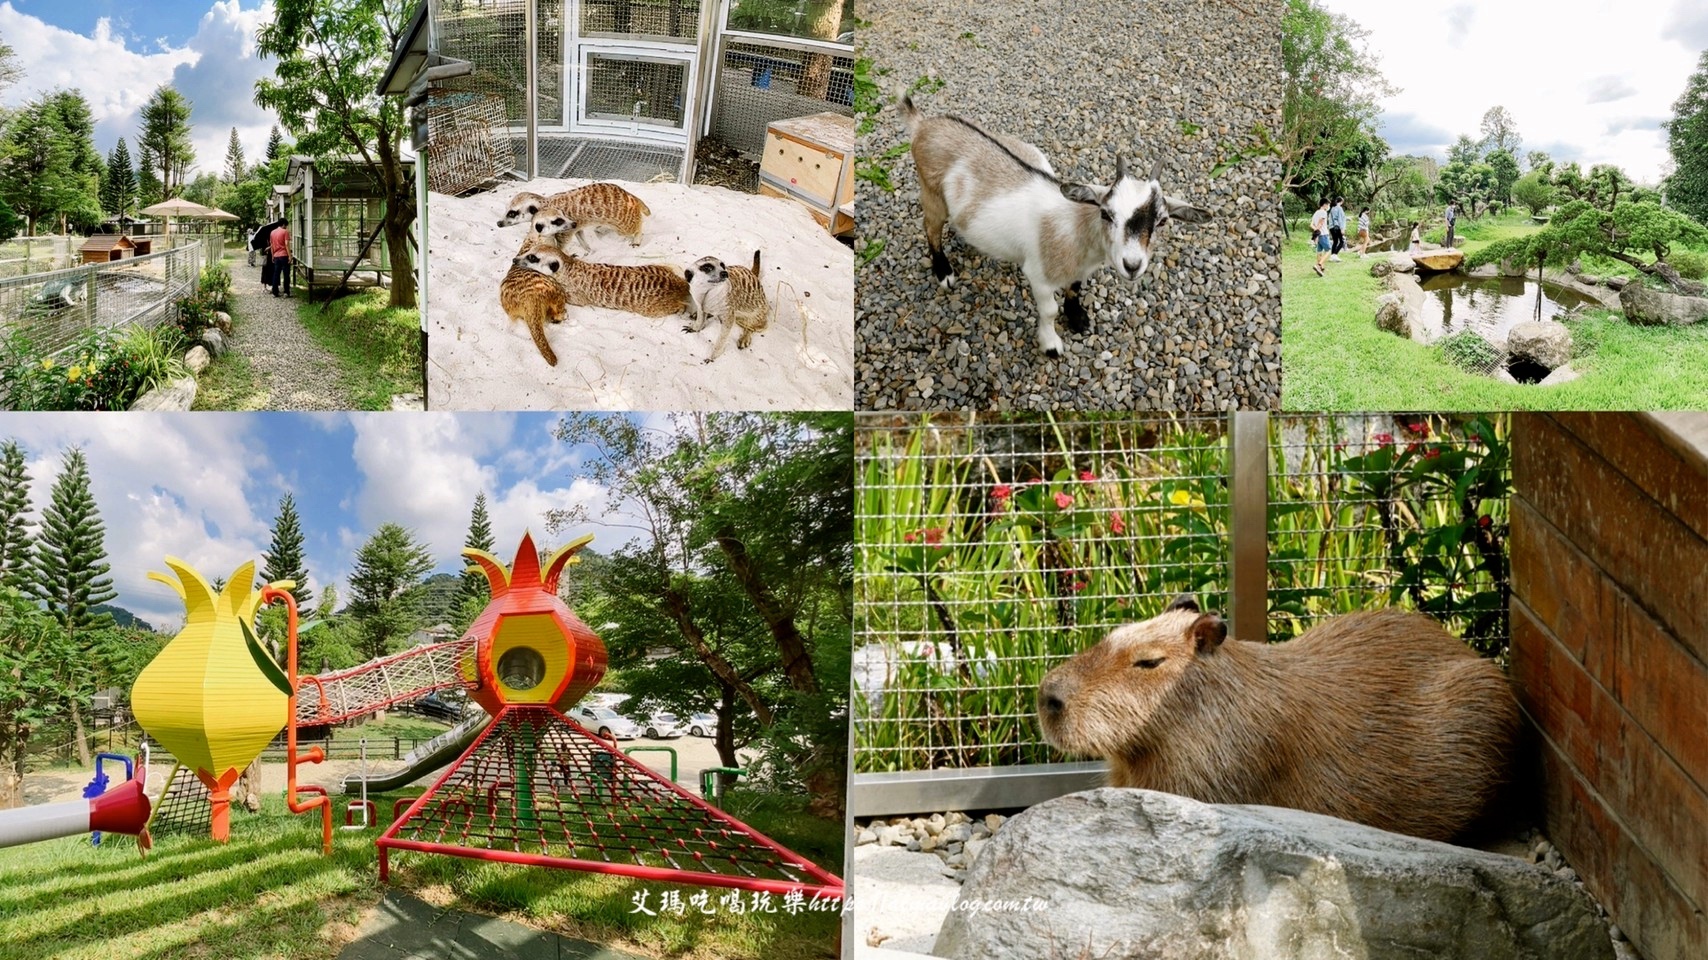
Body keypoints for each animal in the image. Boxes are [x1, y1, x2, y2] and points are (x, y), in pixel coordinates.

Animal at [901, 91, 1209, 355]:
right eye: (1106, 214)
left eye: (1162, 221)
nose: (1132, 265)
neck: (1078, 227)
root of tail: (923, 124)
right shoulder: (1038, 275)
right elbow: (1049, 311)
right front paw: (1050, 344)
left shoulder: (1080, 270)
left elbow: (1075, 290)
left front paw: (1078, 318)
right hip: (931, 194)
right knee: (930, 228)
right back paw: (944, 271)